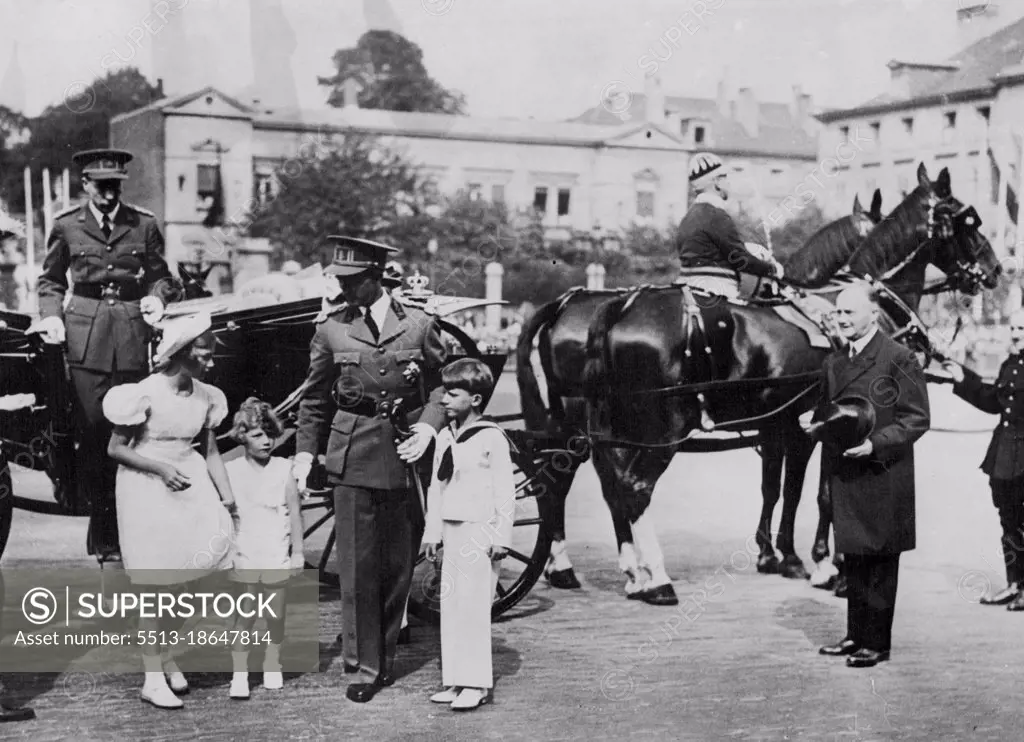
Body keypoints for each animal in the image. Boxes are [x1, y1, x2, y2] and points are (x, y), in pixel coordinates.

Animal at [585, 161, 999, 601]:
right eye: (968, 221)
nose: (996, 270)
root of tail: (622, 305)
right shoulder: (819, 426)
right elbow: (819, 493)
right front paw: (825, 564)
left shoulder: (782, 427)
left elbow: (780, 488)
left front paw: (779, 555)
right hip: (664, 431)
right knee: (635, 488)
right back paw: (657, 578)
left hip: (619, 431)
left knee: (613, 485)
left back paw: (635, 572)